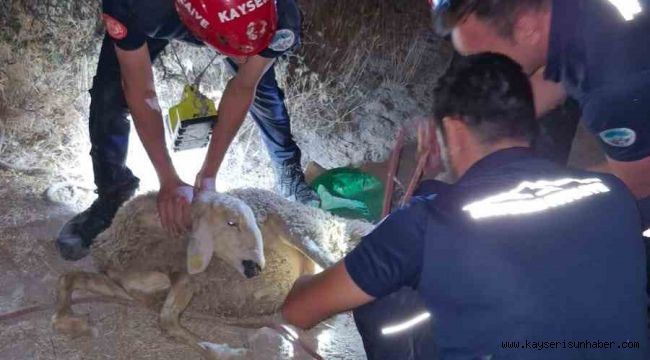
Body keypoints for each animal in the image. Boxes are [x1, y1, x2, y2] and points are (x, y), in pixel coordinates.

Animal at [50, 190, 370, 358]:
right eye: (231, 223)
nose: (257, 267)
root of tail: (337, 227)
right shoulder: (131, 289)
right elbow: (68, 279)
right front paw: (74, 322)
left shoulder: (187, 279)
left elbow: (167, 321)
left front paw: (226, 351)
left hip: (298, 227)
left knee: (333, 261)